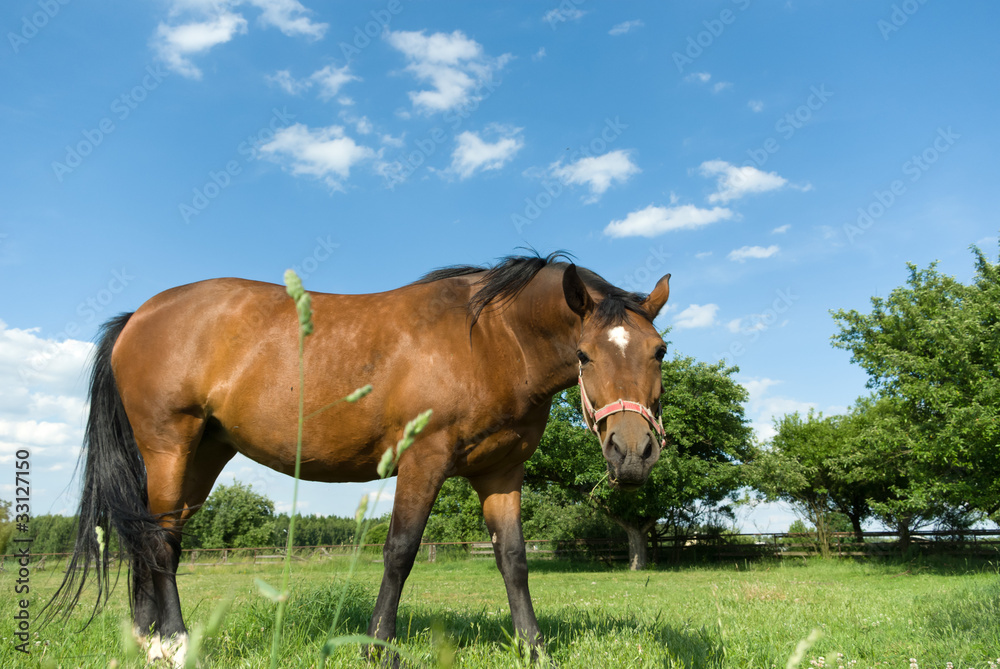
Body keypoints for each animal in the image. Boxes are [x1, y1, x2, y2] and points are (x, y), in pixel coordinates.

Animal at [47, 252, 671, 665]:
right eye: (585, 354)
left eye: (660, 351)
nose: (633, 453)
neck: (489, 339)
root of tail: (137, 317)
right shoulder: (423, 459)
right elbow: (400, 552)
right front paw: (380, 646)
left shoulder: (500, 473)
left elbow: (513, 559)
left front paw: (533, 647)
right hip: (170, 447)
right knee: (159, 544)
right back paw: (174, 642)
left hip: (202, 456)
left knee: (153, 539)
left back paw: (144, 639)